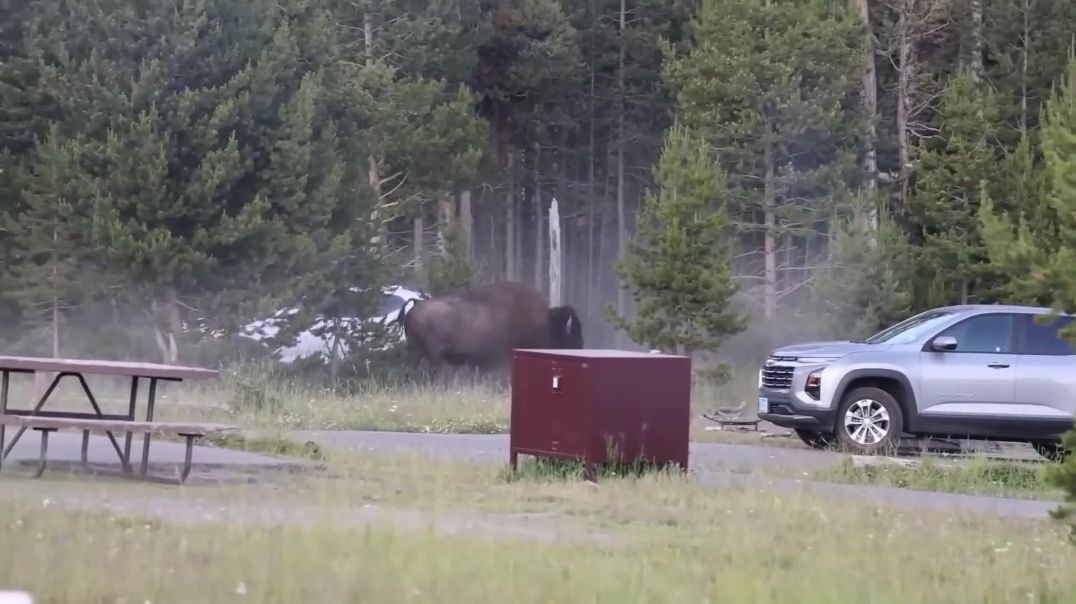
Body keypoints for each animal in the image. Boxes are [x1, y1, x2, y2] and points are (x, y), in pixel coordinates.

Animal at [396, 280, 584, 379]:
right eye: (571, 335)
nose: (580, 349)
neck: (547, 322)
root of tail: (417, 304)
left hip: (415, 351)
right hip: (432, 356)